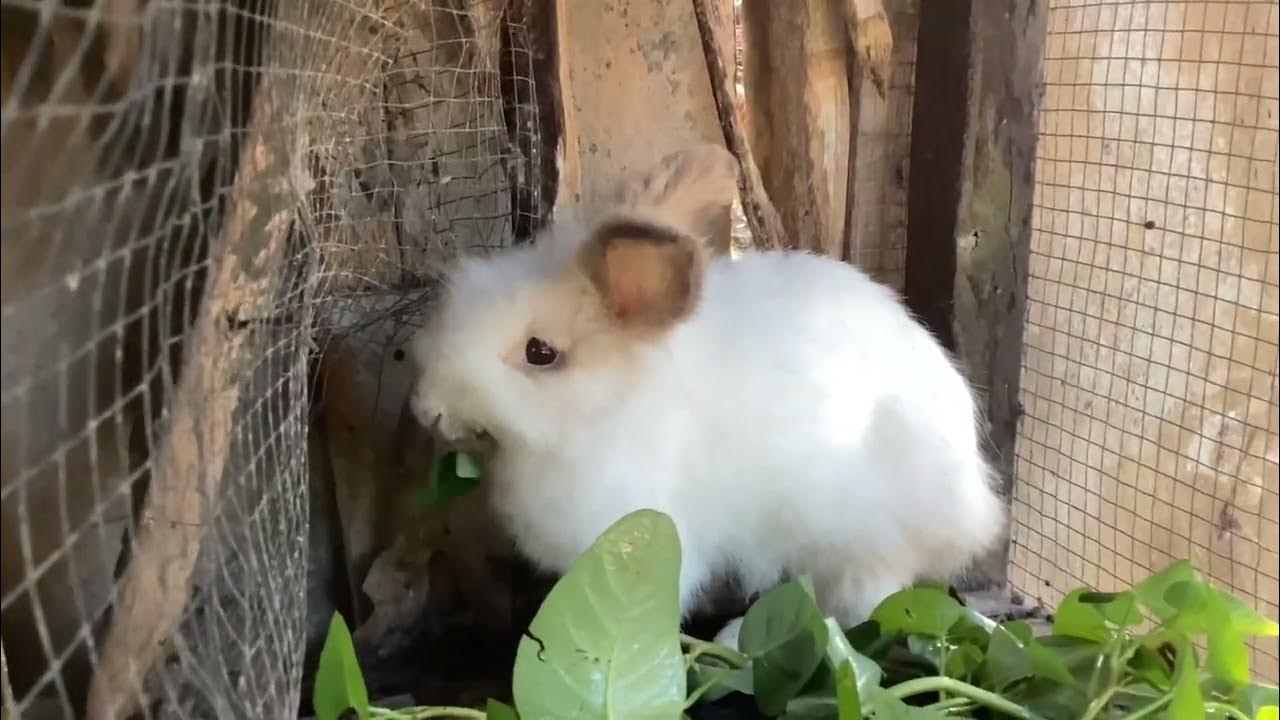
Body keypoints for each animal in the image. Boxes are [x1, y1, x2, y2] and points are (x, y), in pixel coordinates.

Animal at [408, 142, 1006, 649]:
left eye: (540, 353)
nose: (427, 409)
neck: (610, 412)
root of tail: (970, 505)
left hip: (856, 533)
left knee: (852, 606)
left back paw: (734, 640)